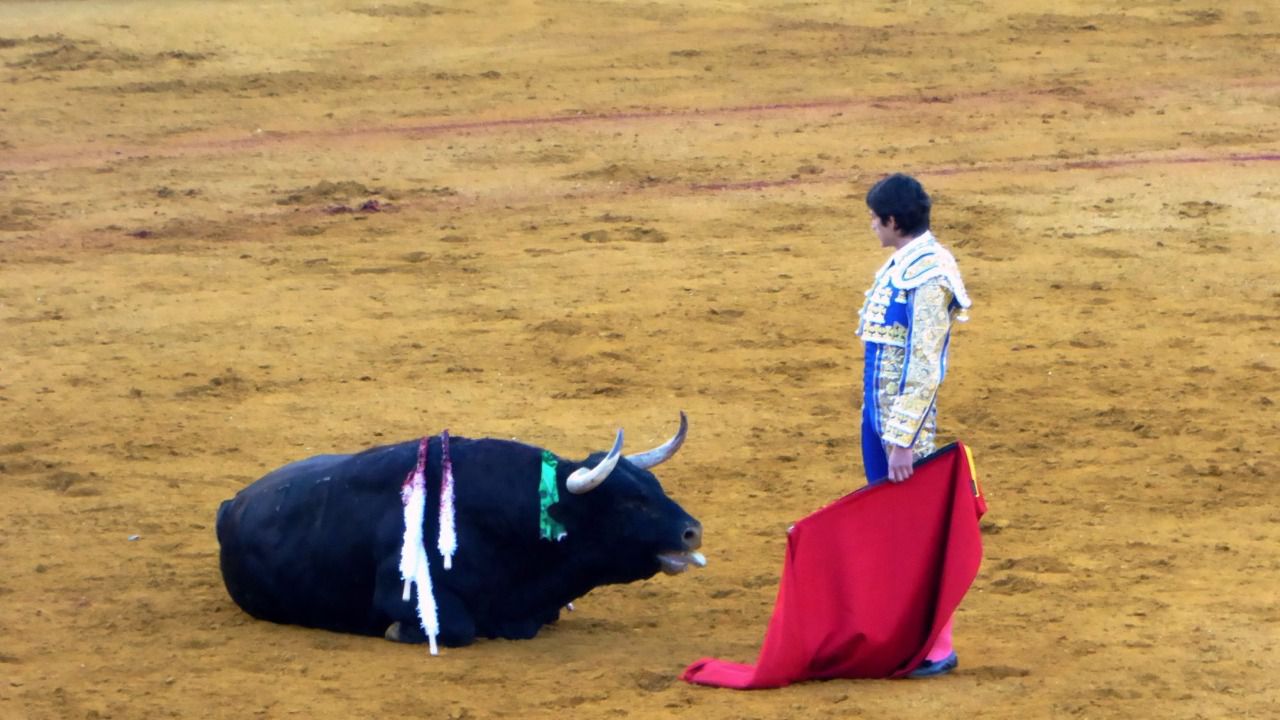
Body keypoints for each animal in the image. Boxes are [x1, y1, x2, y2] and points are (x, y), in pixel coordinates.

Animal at [216, 412, 706, 648]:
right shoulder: (404, 595)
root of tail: (230, 505)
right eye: (631, 501)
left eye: (656, 488)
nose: (692, 532)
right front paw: (395, 632)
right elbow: (457, 628)